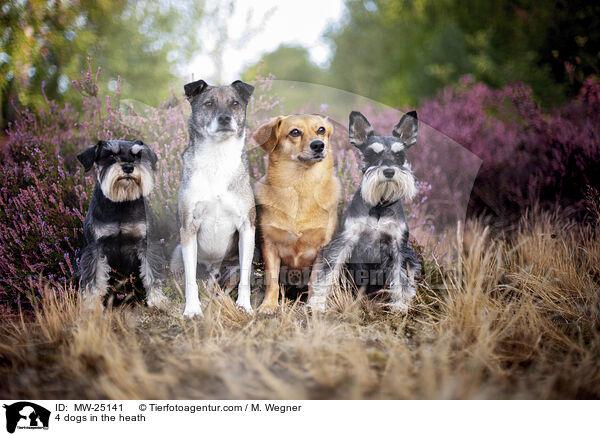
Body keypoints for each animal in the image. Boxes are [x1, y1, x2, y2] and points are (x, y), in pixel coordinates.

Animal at [252, 115, 340, 314]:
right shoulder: (269, 246)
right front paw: (269, 305)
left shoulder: (322, 249)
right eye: (295, 132)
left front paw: (314, 305)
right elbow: (272, 281)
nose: (318, 145)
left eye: (321, 130)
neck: (301, 187)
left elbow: (315, 281)